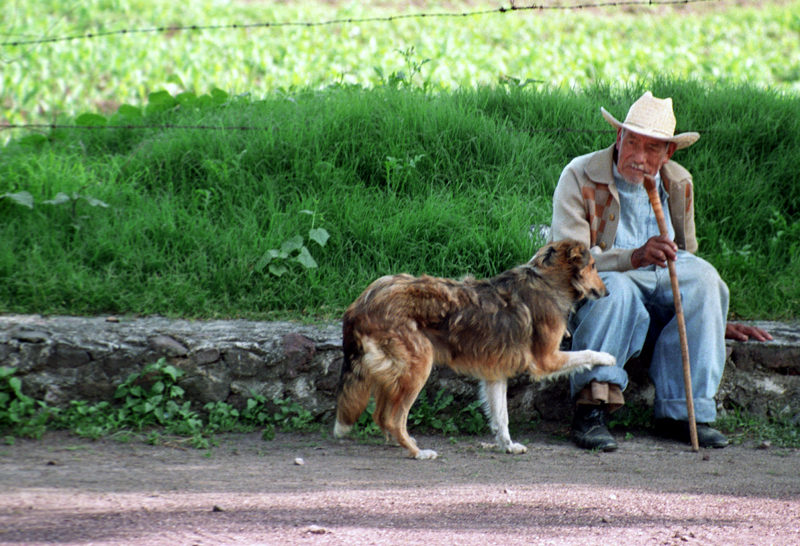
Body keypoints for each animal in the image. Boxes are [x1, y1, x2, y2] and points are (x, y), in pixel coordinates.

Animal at [332, 240, 612, 456]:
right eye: (593, 266)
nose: (608, 293)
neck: (547, 281)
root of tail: (360, 304)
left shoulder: (495, 373)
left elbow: (501, 417)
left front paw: (508, 446)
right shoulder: (546, 360)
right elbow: (586, 353)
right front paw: (607, 357)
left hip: (391, 373)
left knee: (380, 416)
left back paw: (400, 443)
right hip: (417, 368)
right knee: (392, 418)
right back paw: (417, 452)